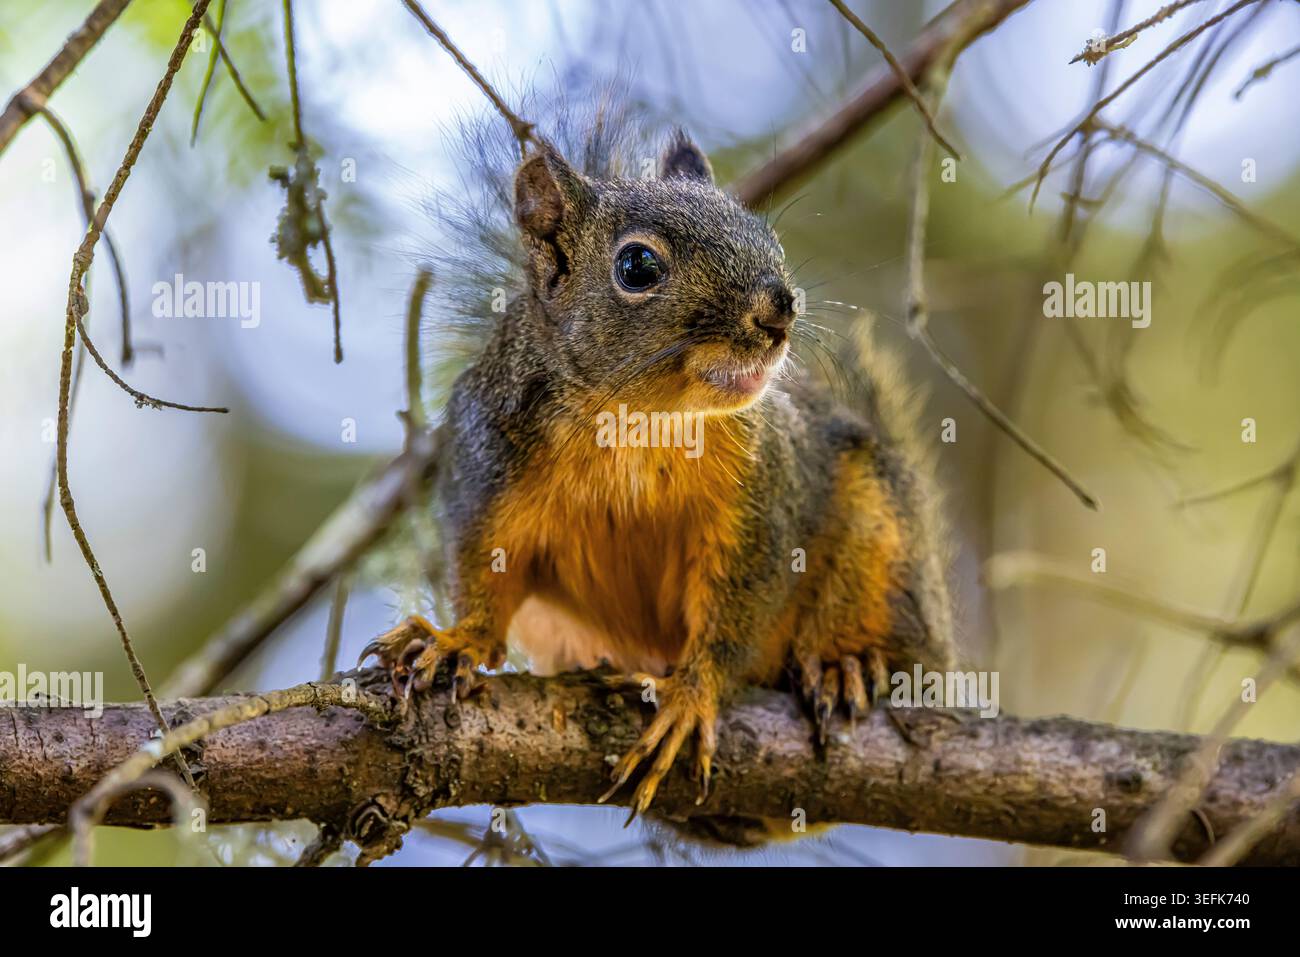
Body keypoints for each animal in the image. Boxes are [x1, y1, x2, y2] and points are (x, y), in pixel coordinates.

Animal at [361, 97, 956, 831]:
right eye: (638, 266)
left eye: (765, 234)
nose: (780, 308)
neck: (639, 425)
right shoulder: (488, 465)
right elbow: (483, 571)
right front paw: (459, 640)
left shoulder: (765, 501)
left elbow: (738, 613)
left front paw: (691, 694)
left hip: (882, 534)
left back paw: (849, 663)